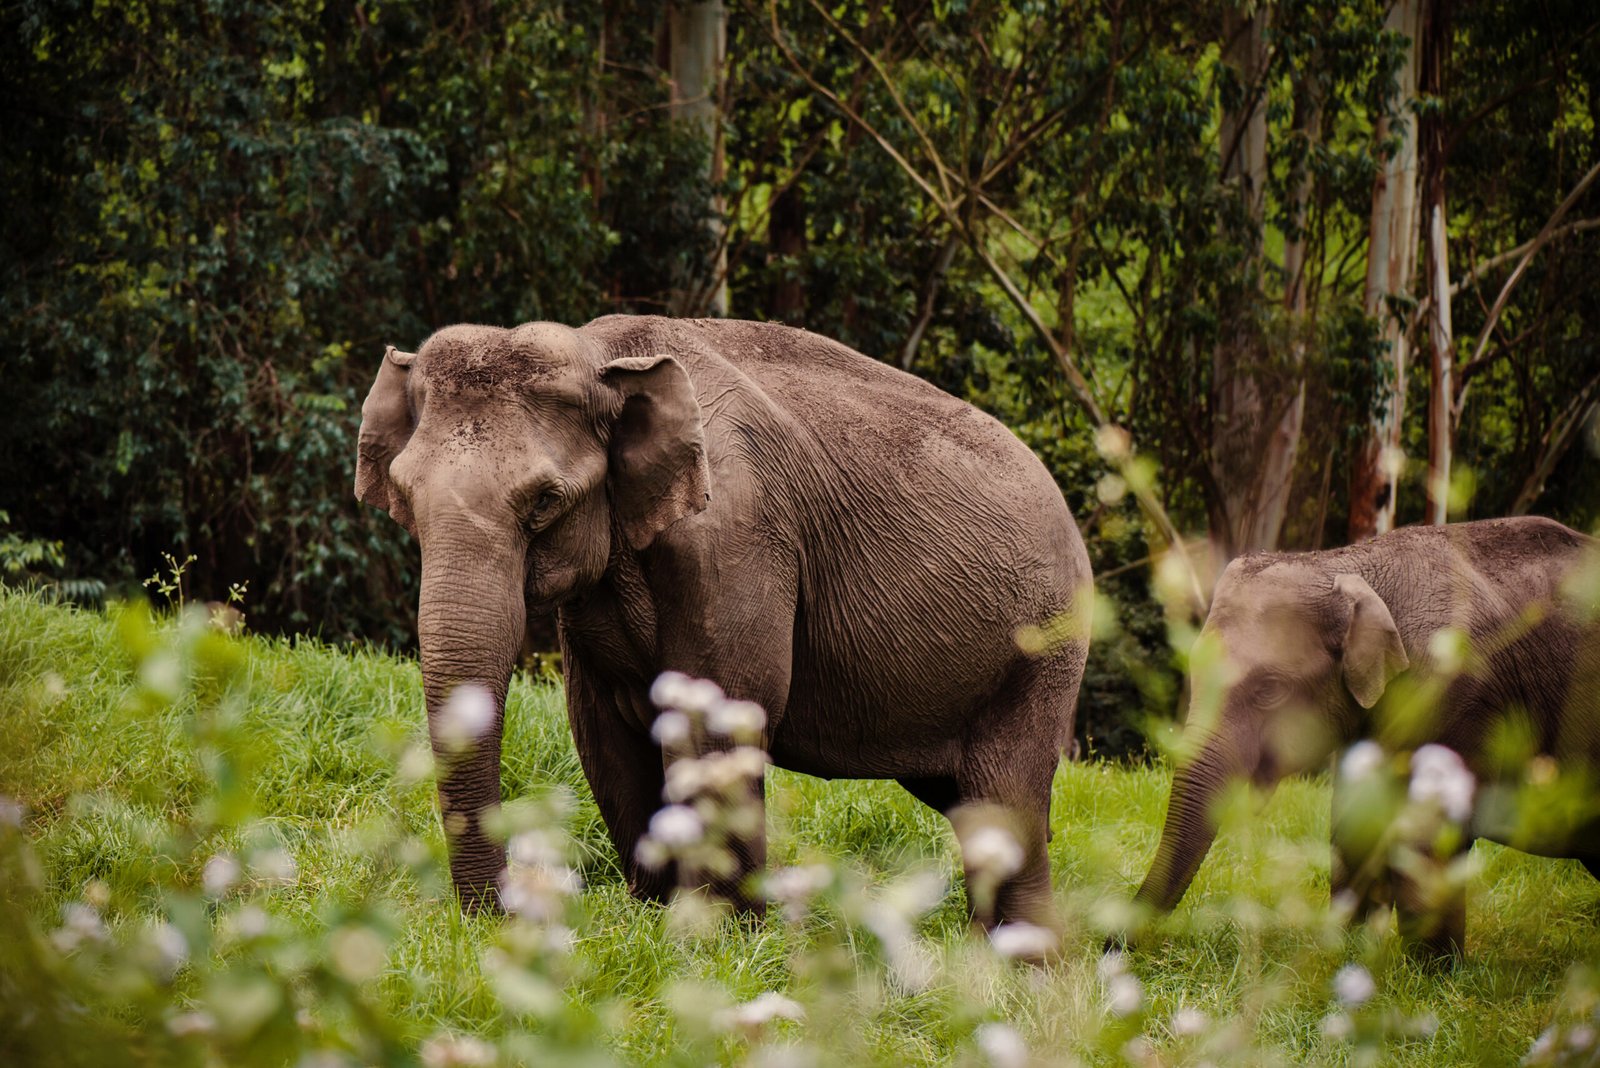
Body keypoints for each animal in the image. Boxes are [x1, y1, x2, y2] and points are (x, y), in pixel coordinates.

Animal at [356, 314, 1094, 933]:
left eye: (544, 501)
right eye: (406, 496)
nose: (498, 919)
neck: (604, 354)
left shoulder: (737, 538)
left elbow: (719, 714)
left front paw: (719, 938)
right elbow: (605, 730)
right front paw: (653, 918)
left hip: (1043, 653)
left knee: (1006, 799)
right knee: (972, 806)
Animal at [1132, 511, 1600, 952]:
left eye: (1269, 690)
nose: (1119, 949)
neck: (1345, 562)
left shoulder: (1451, 692)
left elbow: (1425, 839)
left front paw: (1432, 974)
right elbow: (1357, 824)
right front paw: (1347, 955)